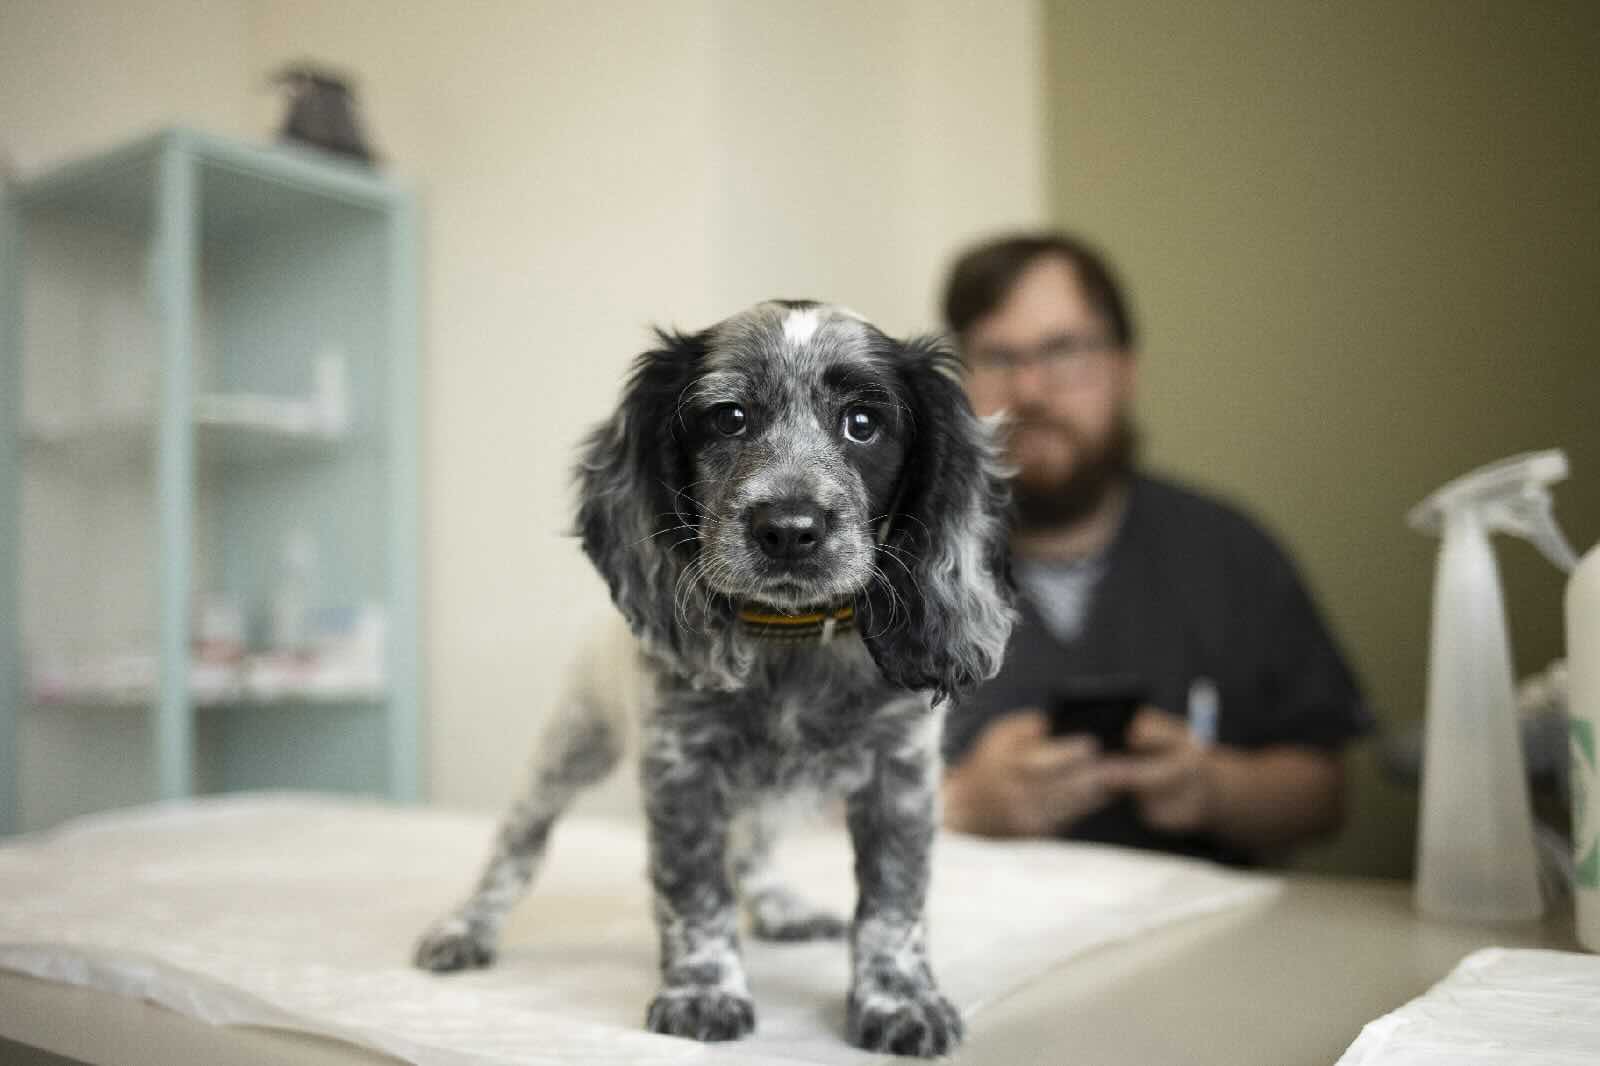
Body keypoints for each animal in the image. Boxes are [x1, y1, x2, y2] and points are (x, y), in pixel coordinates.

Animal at [414, 300, 1015, 1057]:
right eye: (728, 418)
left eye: (863, 423)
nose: (788, 528)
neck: (789, 641)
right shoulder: (682, 768)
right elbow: (695, 891)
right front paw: (702, 991)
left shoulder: (900, 774)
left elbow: (893, 901)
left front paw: (900, 1000)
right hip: (570, 745)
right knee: (516, 847)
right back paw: (466, 927)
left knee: (753, 846)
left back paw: (780, 907)